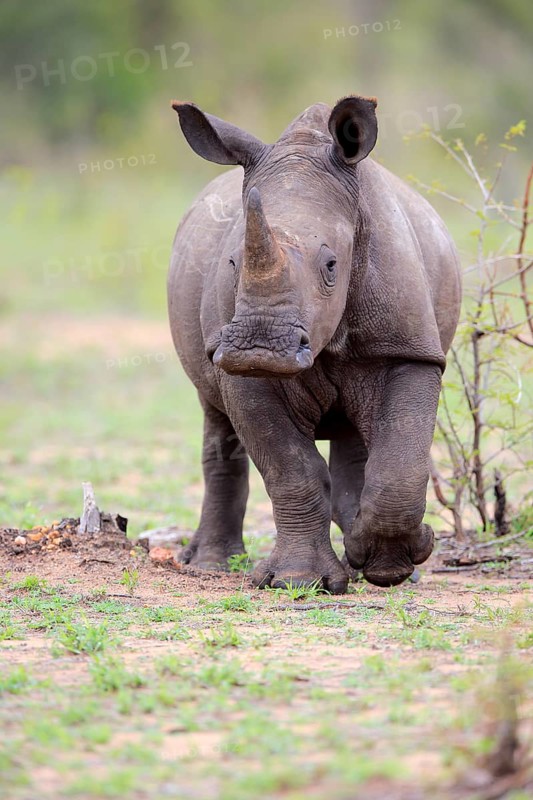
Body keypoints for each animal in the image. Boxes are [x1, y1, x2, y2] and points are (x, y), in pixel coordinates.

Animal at [168, 96, 461, 593]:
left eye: (331, 265)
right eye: (232, 262)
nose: (260, 348)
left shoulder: (409, 349)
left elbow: (401, 460)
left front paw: (388, 566)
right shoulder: (236, 369)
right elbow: (291, 469)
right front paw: (298, 580)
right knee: (214, 415)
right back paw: (210, 565)